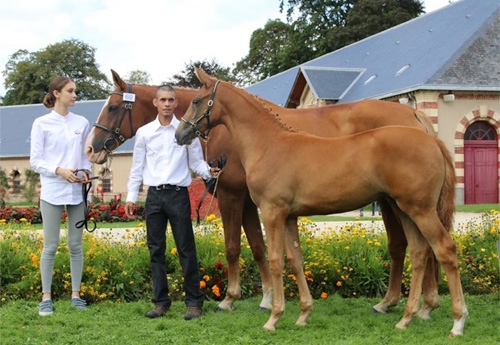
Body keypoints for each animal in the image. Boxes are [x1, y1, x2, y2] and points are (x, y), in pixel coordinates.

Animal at [86, 69, 442, 314]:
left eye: (114, 107)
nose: (91, 149)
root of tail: (412, 112)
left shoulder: (232, 197)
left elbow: (233, 247)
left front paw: (230, 299)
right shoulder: (250, 202)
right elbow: (258, 247)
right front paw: (267, 298)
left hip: (396, 202)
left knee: (406, 245)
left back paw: (405, 303)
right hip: (393, 201)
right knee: (413, 245)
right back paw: (412, 302)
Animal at [174, 68, 466, 336]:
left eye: (197, 100)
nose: (180, 134)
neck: (269, 143)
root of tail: (432, 140)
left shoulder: (270, 211)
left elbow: (273, 259)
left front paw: (272, 317)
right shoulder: (288, 216)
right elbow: (295, 260)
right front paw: (303, 313)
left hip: (420, 210)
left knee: (443, 250)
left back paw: (456, 321)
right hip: (403, 209)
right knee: (419, 252)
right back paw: (408, 316)